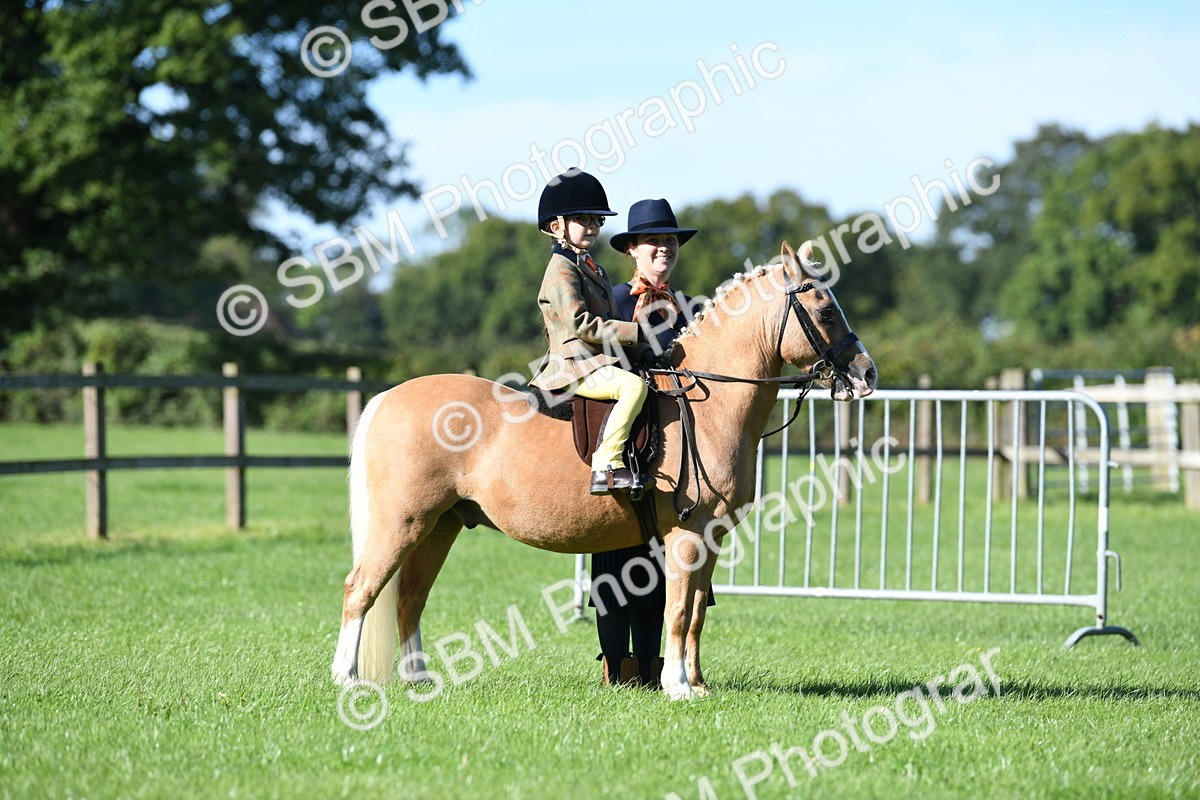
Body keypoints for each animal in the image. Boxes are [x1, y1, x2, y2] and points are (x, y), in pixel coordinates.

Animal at [331, 240, 878, 699]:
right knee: (361, 590)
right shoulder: (687, 535)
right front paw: (678, 687)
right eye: (825, 310)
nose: (867, 373)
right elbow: (678, 611)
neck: (710, 403)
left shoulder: (711, 536)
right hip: (403, 524)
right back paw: (347, 679)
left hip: (440, 526)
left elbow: (696, 616)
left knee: (409, 599)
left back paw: (419, 680)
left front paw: (698, 684)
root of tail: (388, 396)